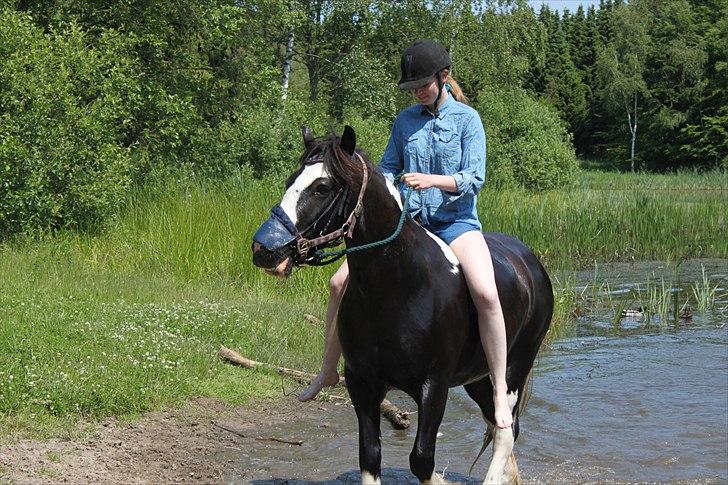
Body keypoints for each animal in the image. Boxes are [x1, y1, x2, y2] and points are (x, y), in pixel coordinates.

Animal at [250, 125, 552, 484]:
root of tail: (531, 264)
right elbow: (370, 455)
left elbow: (421, 459)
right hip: (478, 379)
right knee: (497, 424)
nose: (264, 249)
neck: (401, 287)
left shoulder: (434, 386)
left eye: (322, 187)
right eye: (290, 180)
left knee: (506, 430)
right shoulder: (362, 383)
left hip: (512, 370)